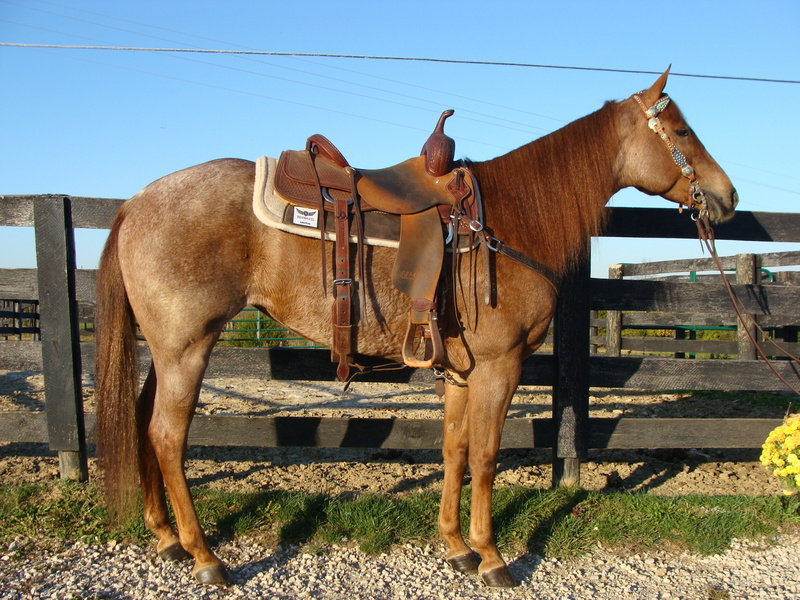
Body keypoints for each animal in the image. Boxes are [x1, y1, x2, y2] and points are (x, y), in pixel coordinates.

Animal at [94, 69, 737, 588]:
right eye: (681, 132)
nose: (728, 197)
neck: (509, 222)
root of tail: (136, 201)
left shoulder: (460, 371)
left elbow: (454, 448)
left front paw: (456, 548)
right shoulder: (501, 366)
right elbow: (485, 455)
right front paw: (492, 558)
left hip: (166, 349)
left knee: (144, 422)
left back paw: (166, 539)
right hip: (187, 347)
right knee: (167, 436)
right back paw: (205, 557)